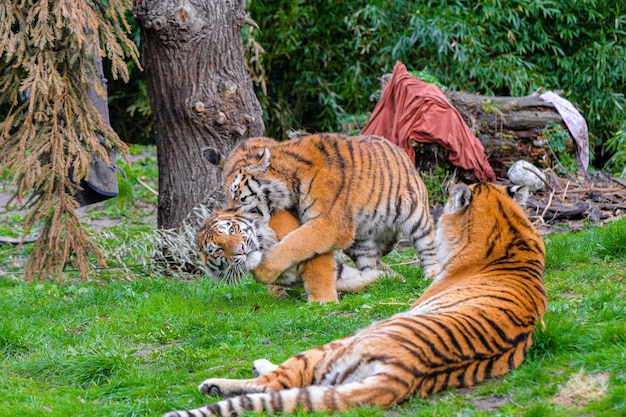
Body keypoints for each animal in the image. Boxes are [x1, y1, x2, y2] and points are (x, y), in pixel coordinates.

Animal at [204, 132, 438, 286]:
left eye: (237, 197)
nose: (229, 213)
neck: (290, 180)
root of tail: (399, 148)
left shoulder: (330, 222)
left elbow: (298, 241)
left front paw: (265, 269)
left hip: (415, 214)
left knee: (427, 246)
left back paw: (431, 274)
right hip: (362, 240)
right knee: (369, 262)